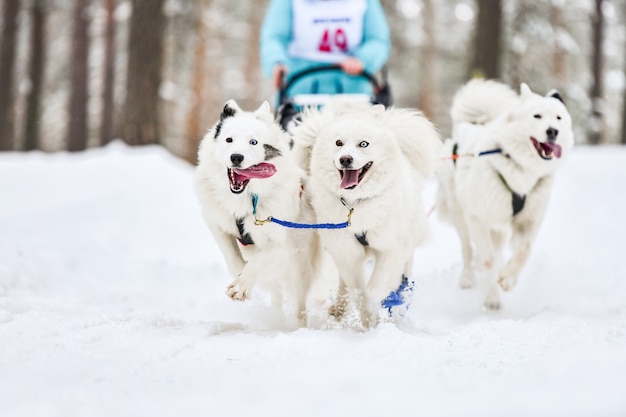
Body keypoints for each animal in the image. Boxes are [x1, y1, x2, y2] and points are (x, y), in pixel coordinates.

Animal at [194, 99, 322, 324]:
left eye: (253, 142)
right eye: (229, 139)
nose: (236, 157)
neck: (245, 198)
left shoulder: (279, 242)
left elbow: (258, 262)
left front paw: (241, 285)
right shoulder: (216, 223)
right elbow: (233, 257)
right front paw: (240, 279)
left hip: (299, 267)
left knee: (299, 302)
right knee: (277, 294)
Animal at [294, 101, 442, 324]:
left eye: (363, 144)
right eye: (339, 143)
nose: (345, 159)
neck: (356, 204)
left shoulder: (391, 248)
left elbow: (375, 286)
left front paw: (375, 307)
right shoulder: (346, 251)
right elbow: (357, 288)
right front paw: (366, 316)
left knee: (403, 271)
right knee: (344, 282)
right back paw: (339, 307)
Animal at [436, 79, 572, 308]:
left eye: (558, 118)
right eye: (537, 116)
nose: (553, 131)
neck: (521, 169)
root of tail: (471, 126)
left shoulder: (530, 220)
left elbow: (524, 251)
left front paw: (508, 279)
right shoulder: (477, 217)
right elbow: (487, 259)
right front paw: (492, 290)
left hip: (497, 227)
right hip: (460, 215)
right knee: (468, 249)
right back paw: (469, 279)